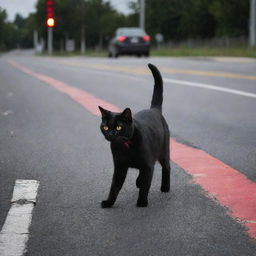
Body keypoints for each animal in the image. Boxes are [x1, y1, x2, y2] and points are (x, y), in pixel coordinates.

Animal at [99, 63, 170, 207]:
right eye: (105, 127)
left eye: (119, 127)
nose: (111, 133)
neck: (126, 147)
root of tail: (154, 109)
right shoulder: (119, 167)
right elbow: (114, 186)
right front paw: (109, 202)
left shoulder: (147, 164)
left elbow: (145, 184)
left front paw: (142, 202)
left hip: (163, 152)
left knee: (167, 167)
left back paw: (165, 187)